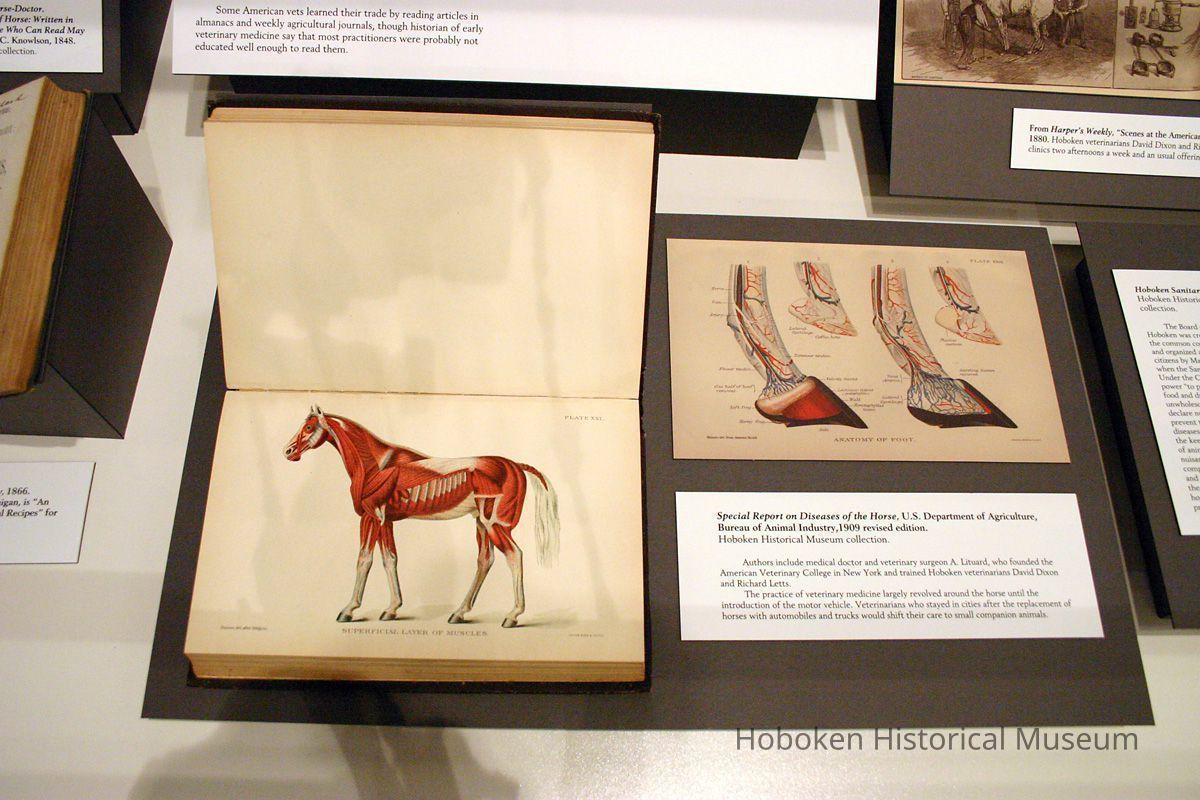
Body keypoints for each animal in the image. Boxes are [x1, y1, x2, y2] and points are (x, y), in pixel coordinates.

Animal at [283, 406, 560, 628]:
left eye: (309, 427)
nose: (288, 451)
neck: (375, 465)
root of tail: (517, 466)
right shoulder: (387, 521)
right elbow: (389, 559)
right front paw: (392, 609)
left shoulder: (371, 517)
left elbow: (364, 560)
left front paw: (348, 610)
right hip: (481, 523)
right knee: (485, 560)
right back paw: (459, 613)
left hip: (495, 524)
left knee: (514, 555)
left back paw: (512, 616)